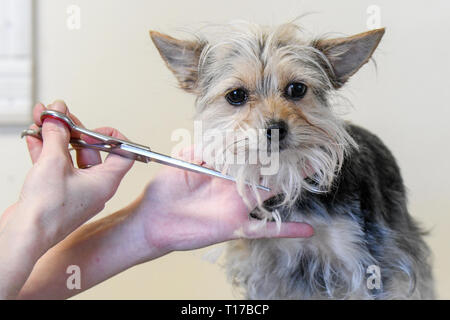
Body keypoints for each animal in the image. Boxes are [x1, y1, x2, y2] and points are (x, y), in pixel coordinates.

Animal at [149, 21, 434, 298]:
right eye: (236, 95)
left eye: (297, 89)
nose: (276, 128)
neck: (285, 174)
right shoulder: (265, 273)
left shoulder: (366, 265)